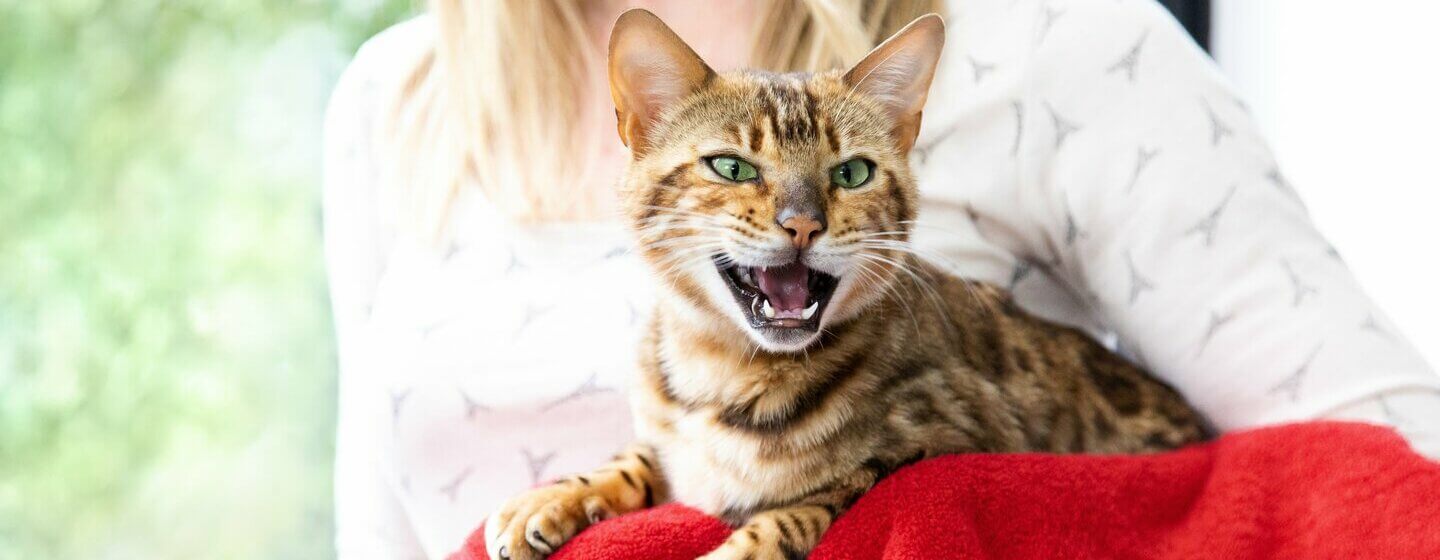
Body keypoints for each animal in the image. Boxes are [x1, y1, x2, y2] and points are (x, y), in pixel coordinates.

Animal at [483, 9, 1203, 558]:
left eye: (851, 173)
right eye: (732, 167)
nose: (803, 223)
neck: (722, 373)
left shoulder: (939, 448)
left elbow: (795, 512)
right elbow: (634, 455)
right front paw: (552, 496)